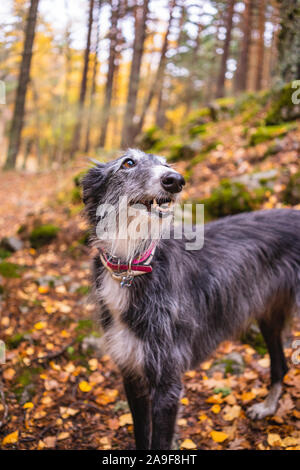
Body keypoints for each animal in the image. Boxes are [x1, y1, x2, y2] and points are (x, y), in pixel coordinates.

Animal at [82, 149, 300, 450]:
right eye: (128, 163)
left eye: (166, 164)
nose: (175, 180)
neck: (133, 265)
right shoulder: (132, 374)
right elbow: (141, 435)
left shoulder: (167, 383)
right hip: (269, 314)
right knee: (280, 364)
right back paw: (267, 407)